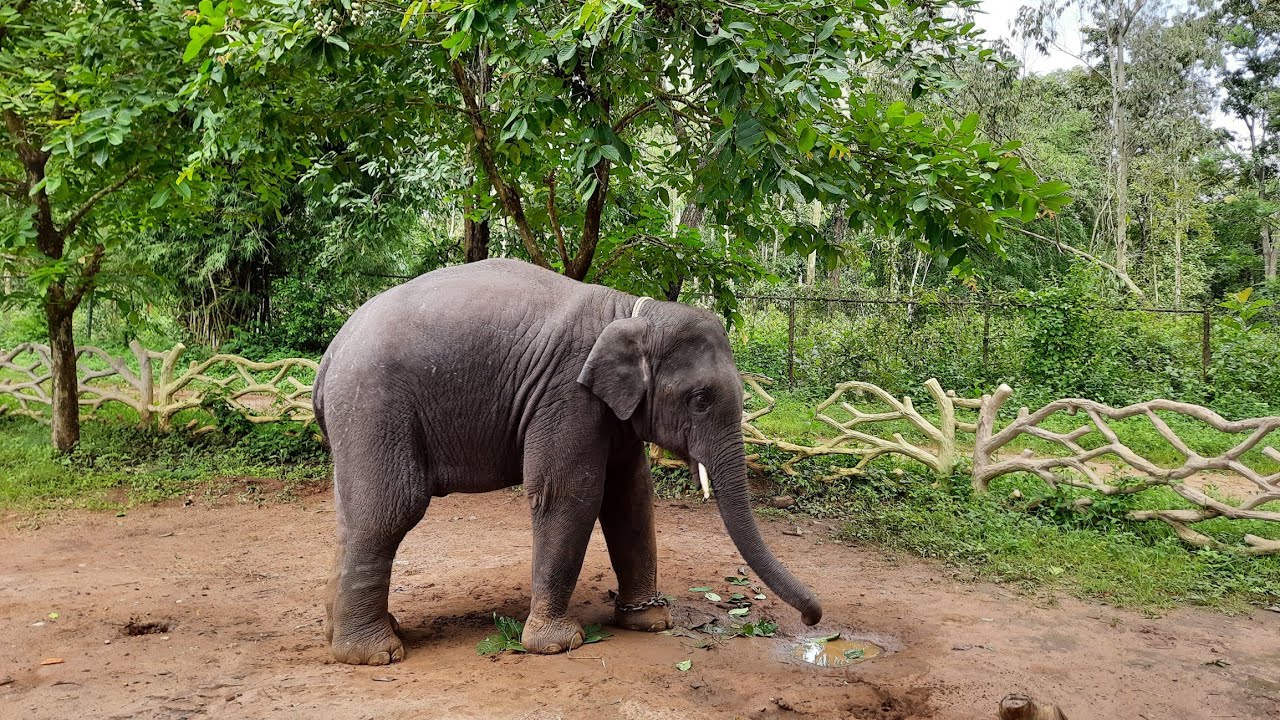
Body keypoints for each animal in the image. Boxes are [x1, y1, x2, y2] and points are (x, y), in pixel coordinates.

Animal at [313, 258, 821, 665]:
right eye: (700, 400)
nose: (812, 620)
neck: (631, 312)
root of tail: (330, 353)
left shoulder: (611, 413)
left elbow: (631, 497)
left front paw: (651, 622)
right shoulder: (566, 396)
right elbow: (569, 494)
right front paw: (559, 645)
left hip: (357, 421)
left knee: (349, 514)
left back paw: (351, 631)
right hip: (374, 408)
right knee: (388, 511)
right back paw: (375, 654)